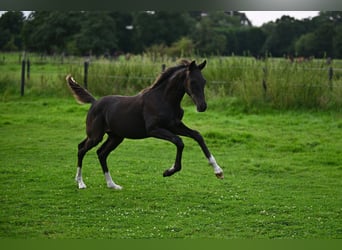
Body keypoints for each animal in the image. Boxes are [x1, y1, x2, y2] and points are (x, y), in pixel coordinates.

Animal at [67, 60, 223, 189]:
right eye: (193, 81)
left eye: (204, 81)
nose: (202, 106)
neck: (164, 99)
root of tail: (94, 102)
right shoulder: (154, 130)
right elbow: (179, 141)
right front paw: (169, 171)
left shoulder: (174, 125)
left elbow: (197, 135)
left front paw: (218, 171)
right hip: (96, 135)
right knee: (81, 149)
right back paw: (80, 182)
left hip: (116, 137)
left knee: (101, 153)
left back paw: (112, 185)